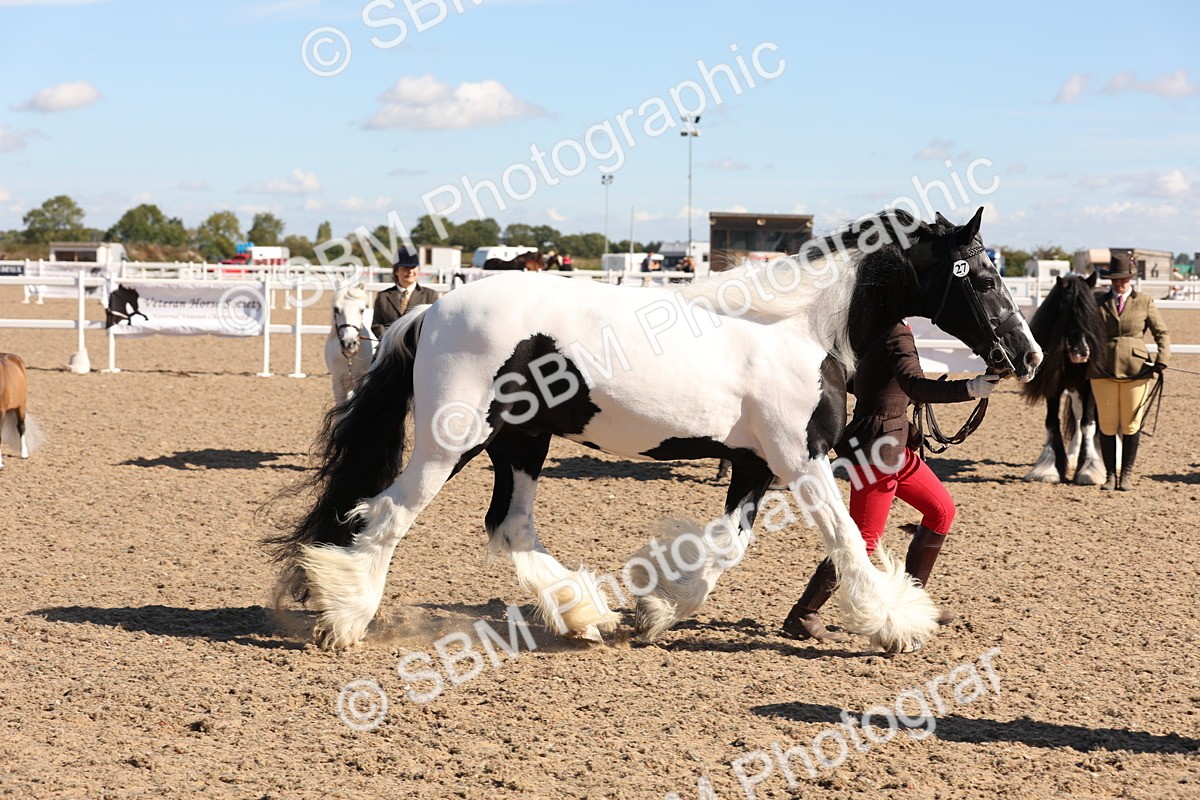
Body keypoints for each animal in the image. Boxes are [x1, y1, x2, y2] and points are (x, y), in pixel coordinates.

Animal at [268, 207, 1042, 653]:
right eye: (980, 277)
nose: (1027, 355)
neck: (795, 329)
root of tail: (431, 311)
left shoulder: (756, 464)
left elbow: (728, 548)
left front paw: (656, 610)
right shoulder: (802, 460)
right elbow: (849, 542)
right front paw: (896, 622)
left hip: (522, 443)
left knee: (509, 526)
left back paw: (586, 614)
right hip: (449, 444)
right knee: (388, 515)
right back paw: (345, 620)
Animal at [1021, 272, 1107, 484]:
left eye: (1091, 312)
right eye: (1066, 310)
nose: (1082, 353)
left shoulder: (1090, 388)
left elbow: (1088, 424)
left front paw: (1089, 469)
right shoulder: (1054, 387)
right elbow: (1052, 422)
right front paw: (1048, 468)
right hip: (1074, 391)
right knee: (1077, 416)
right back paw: (1074, 455)